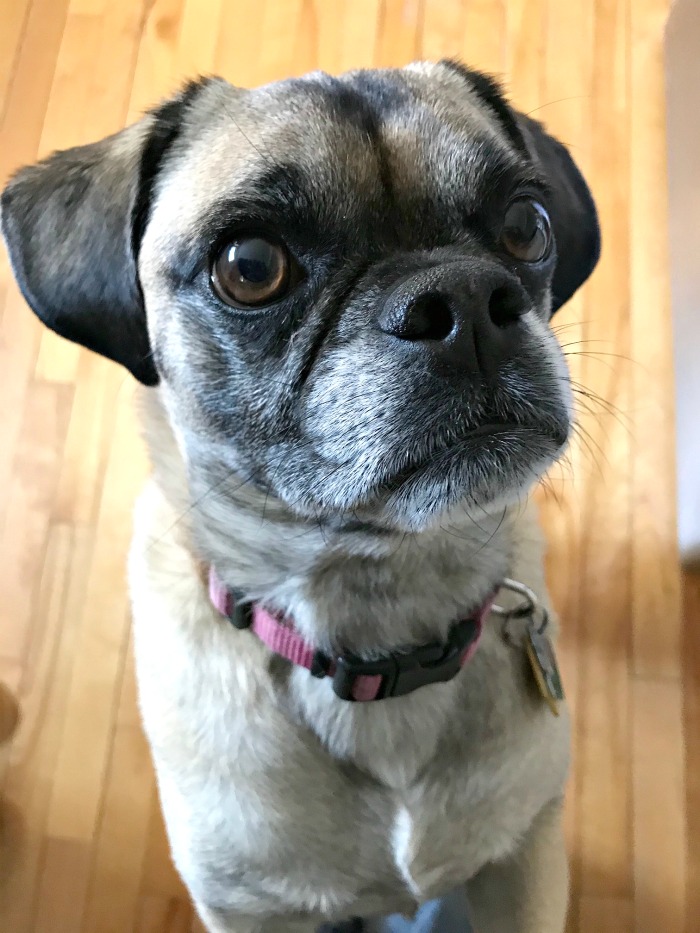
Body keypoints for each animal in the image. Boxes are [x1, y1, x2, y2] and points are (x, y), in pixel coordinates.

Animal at [1, 61, 599, 932]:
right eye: (251, 267)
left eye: (526, 225)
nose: (461, 299)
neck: (379, 619)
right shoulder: (251, 910)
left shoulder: (522, 864)